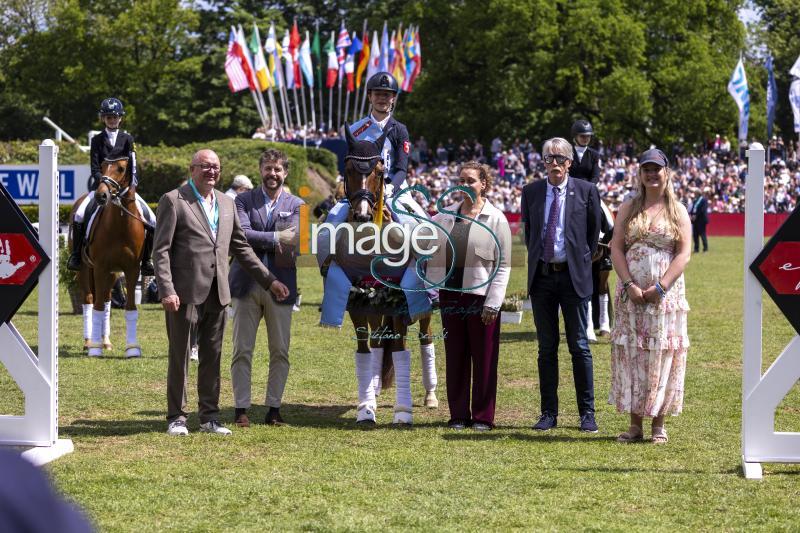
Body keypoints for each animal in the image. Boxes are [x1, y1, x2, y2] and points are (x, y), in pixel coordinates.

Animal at [70, 158, 147, 358]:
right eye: (103, 166)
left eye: (121, 168)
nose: (101, 196)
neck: (120, 223)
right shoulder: (100, 267)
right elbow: (96, 307)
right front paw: (95, 349)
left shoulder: (132, 269)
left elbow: (130, 307)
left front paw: (132, 348)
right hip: (84, 269)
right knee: (89, 300)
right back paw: (89, 342)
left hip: (112, 274)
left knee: (105, 300)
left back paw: (106, 341)